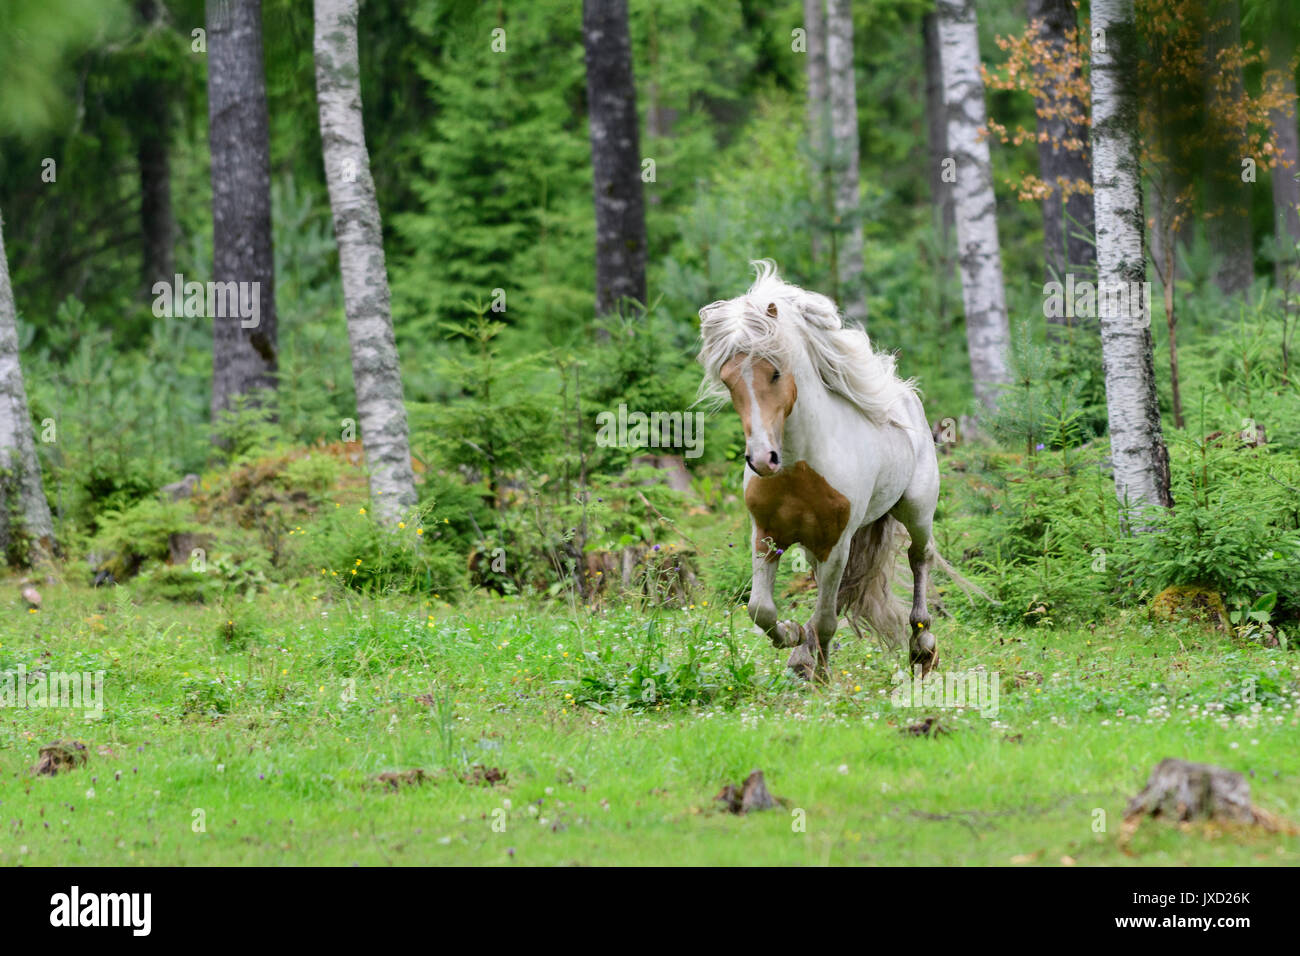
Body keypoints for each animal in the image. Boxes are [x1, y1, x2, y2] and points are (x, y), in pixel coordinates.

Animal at [702, 261, 967, 681]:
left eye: (775, 373)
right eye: (728, 380)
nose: (762, 459)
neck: (798, 468)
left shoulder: (836, 543)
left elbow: (826, 619)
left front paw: (821, 675)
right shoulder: (767, 536)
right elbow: (761, 610)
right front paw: (794, 639)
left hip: (917, 510)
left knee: (919, 557)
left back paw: (922, 648)